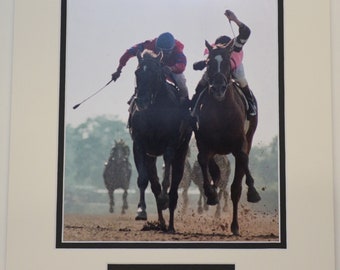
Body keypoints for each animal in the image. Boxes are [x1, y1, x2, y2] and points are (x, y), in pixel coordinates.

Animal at [129, 49, 191, 232]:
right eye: (137, 72)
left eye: (155, 73)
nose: (141, 100)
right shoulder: (139, 144)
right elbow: (143, 179)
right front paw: (141, 211)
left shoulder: (170, 144)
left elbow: (167, 175)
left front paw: (164, 198)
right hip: (150, 156)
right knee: (154, 184)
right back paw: (162, 222)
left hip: (182, 150)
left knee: (175, 186)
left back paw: (170, 224)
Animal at [193, 41, 262, 235]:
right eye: (208, 63)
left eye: (226, 62)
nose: (217, 88)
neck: (221, 112)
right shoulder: (204, 144)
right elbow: (203, 160)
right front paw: (211, 194)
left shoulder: (239, 146)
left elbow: (236, 186)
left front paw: (235, 226)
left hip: (250, 136)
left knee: (244, 163)